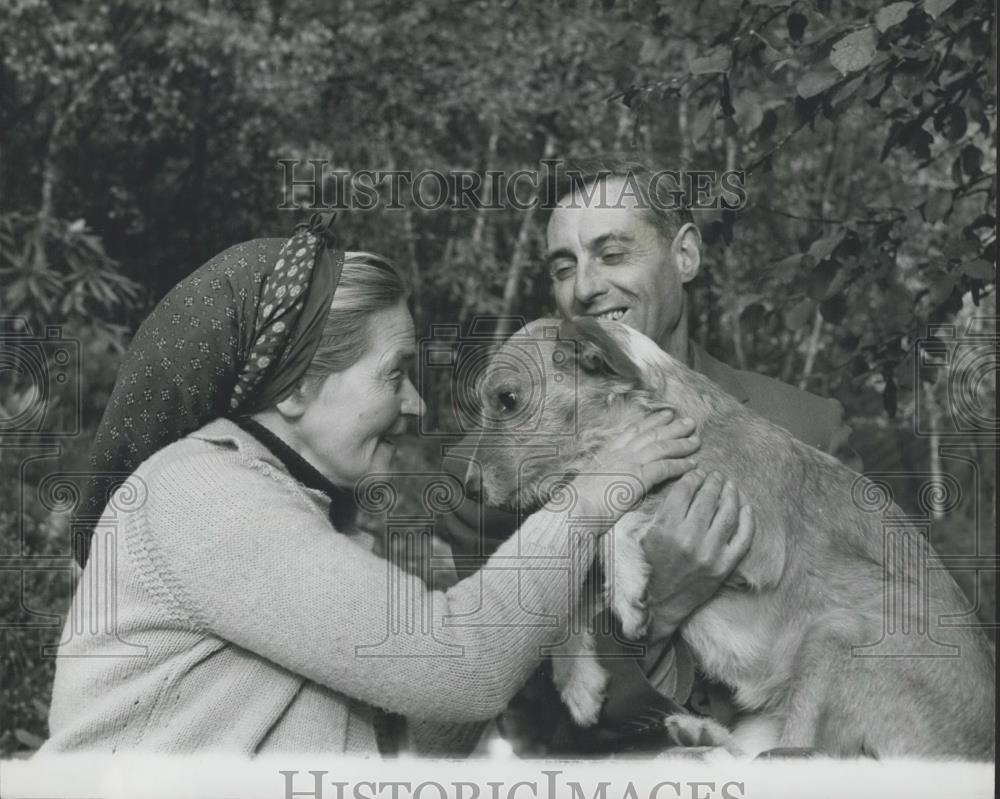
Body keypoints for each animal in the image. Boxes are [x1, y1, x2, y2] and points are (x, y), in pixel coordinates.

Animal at [472, 316, 996, 760]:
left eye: (508, 399)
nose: (469, 487)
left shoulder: (756, 541)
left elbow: (618, 519)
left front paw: (626, 590)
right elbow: (576, 584)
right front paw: (578, 682)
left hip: (840, 634)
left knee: (798, 755)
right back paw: (700, 734)